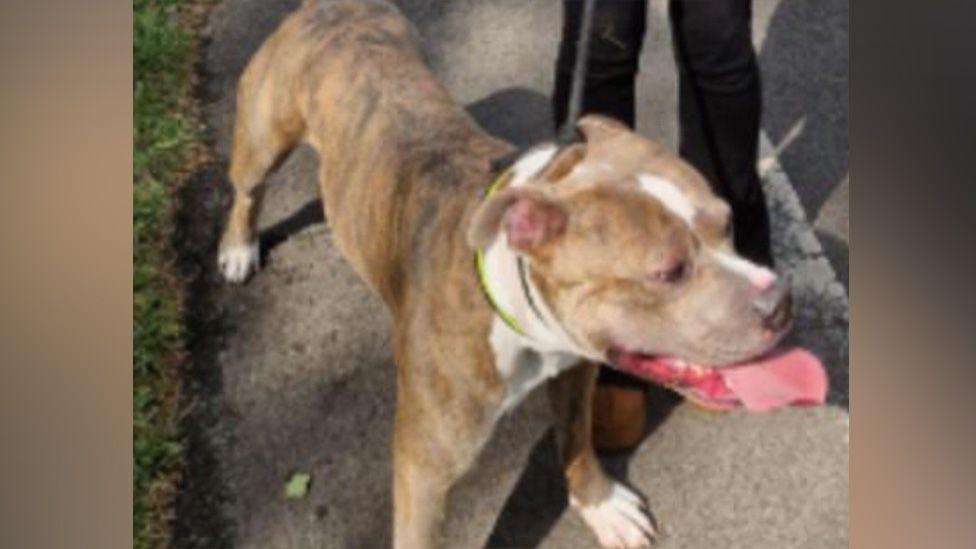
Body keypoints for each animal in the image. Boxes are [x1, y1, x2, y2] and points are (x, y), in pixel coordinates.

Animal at [215, 2, 824, 544]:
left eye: (728, 224)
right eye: (668, 272)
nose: (781, 301)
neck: (511, 304)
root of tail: (329, 9)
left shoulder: (576, 372)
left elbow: (576, 443)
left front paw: (600, 505)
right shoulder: (423, 469)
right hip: (262, 136)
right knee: (248, 189)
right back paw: (239, 247)